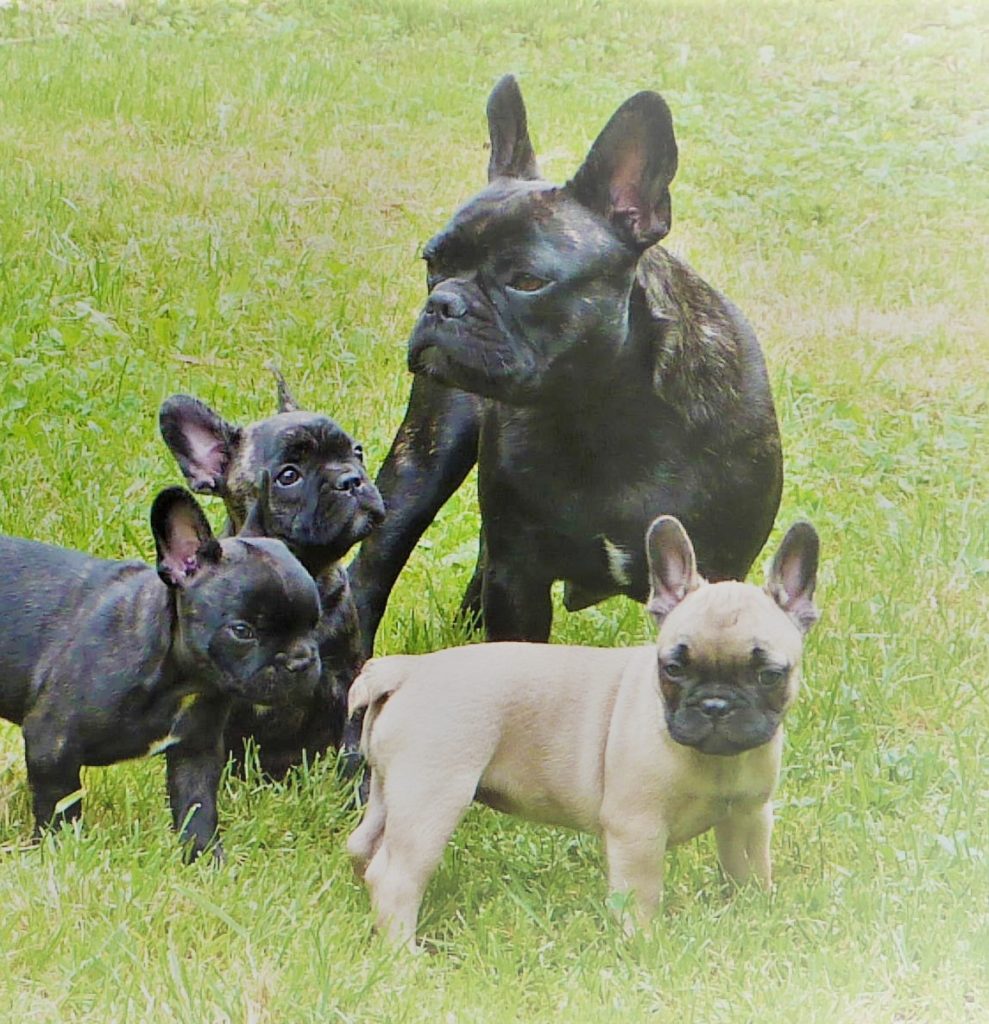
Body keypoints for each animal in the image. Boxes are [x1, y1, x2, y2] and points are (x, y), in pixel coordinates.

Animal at [0, 485, 321, 856]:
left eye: (315, 623)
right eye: (243, 631)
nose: (300, 660)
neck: (179, 679)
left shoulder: (195, 751)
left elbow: (197, 808)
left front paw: (205, 857)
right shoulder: (52, 741)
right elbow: (59, 804)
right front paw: (60, 849)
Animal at [348, 520, 819, 950]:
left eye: (769, 675)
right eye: (673, 669)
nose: (715, 704)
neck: (714, 760)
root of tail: (408, 669)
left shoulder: (749, 816)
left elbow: (750, 871)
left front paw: (756, 916)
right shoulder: (637, 831)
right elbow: (641, 895)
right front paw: (643, 944)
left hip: (392, 791)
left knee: (365, 848)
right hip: (432, 798)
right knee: (396, 877)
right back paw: (403, 953)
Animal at [352, 75, 786, 647]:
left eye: (527, 281)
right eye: (433, 264)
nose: (443, 302)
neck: (598, 410)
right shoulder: (519, 574)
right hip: (422, 459)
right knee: (372, 569)